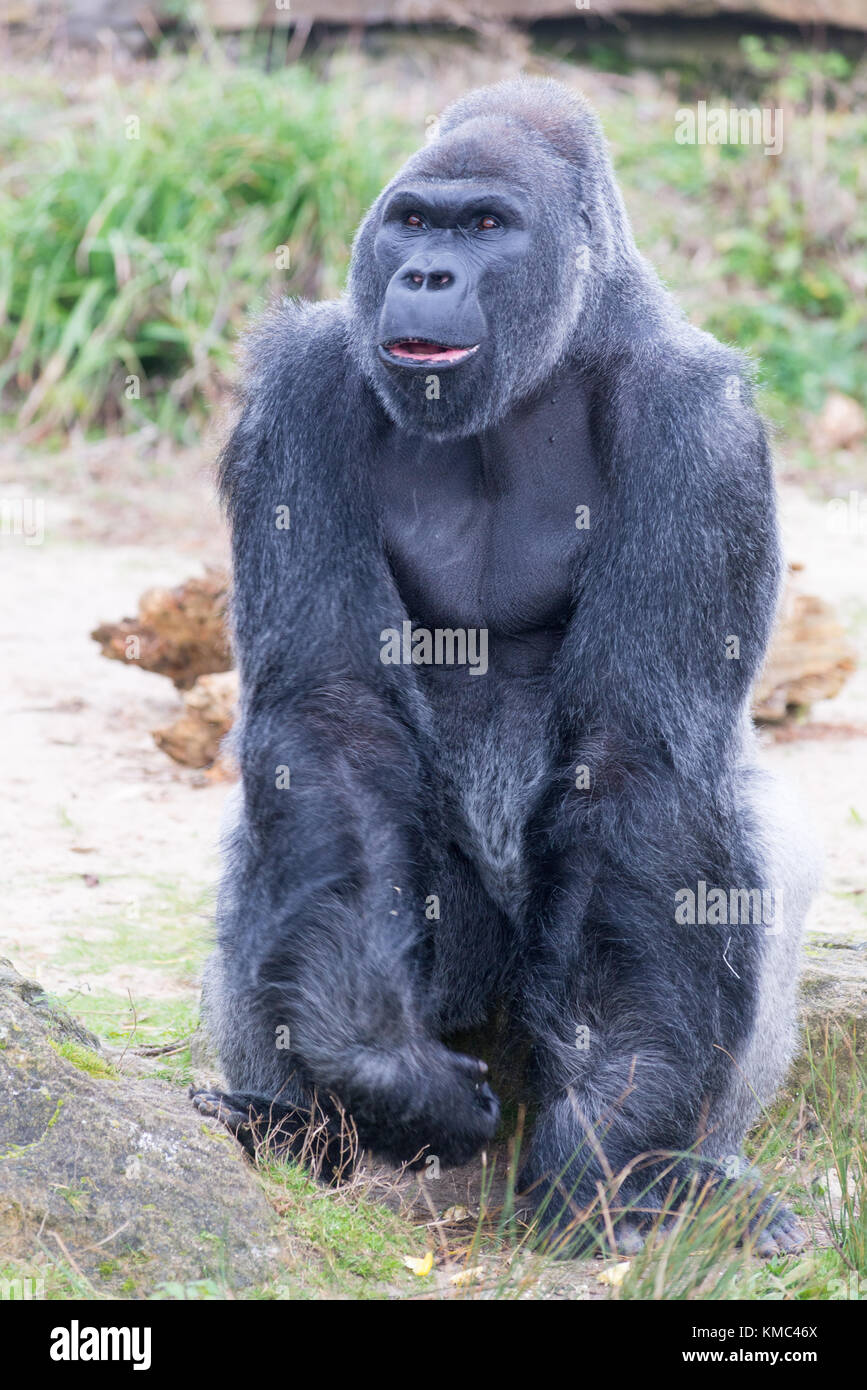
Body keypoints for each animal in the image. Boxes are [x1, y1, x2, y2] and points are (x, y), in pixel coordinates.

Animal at [193, 78, 816, 1262]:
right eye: (414, 223)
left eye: (485, 226)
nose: (427, 276)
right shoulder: (302, 386)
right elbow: (332, 719)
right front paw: (376, 1068)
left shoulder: (700, 424)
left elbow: (638, 765)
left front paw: (610, 1138)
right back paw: (295, 1125)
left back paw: (700, 1175)